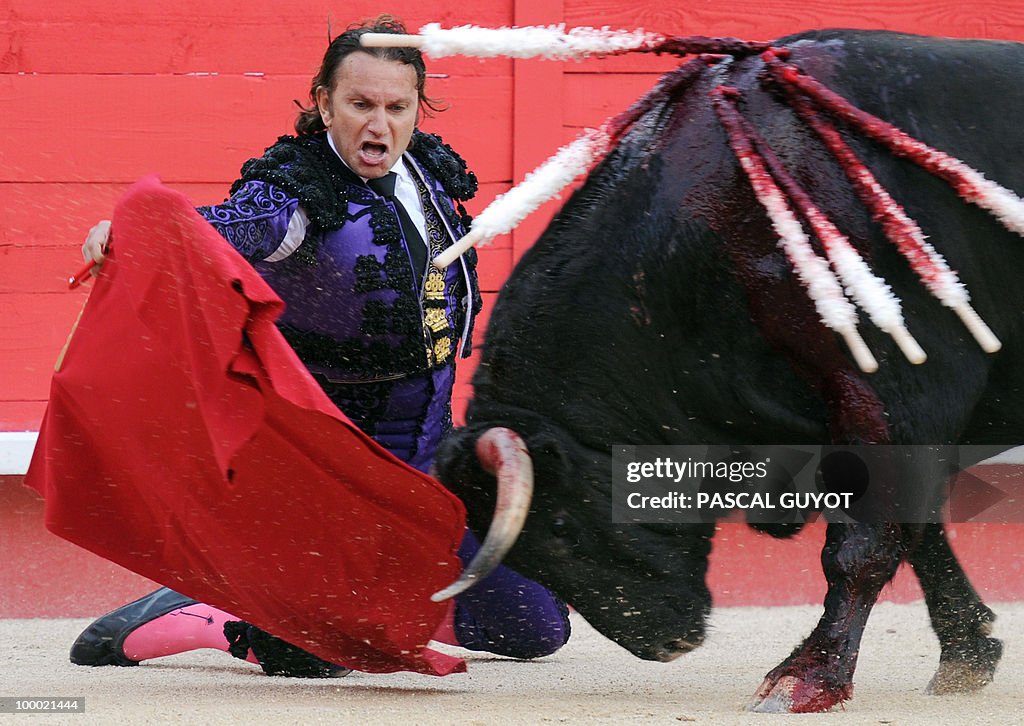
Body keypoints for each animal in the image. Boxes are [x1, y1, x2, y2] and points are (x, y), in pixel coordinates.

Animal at [434, 31, 1024, 712]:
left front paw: (804, 679)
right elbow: (922, 537)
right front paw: (966, 657)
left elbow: (863, 546)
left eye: (560, 527)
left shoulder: (899, 400)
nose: (665, 643)